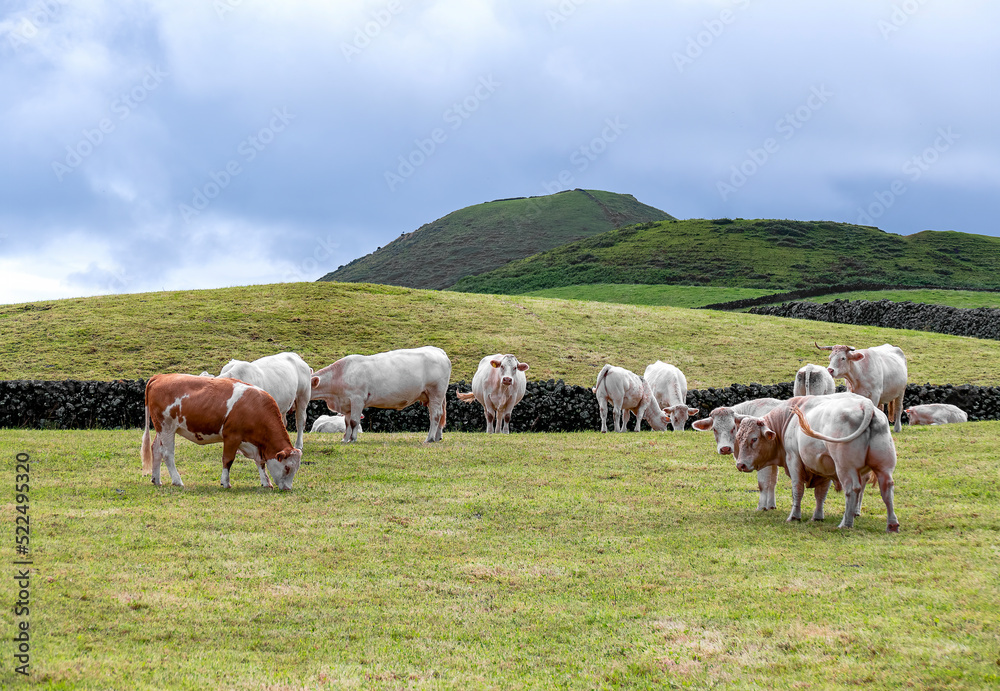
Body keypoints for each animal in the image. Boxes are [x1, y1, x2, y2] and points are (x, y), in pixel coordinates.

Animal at [140, 373, 301, 490]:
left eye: (296, 469)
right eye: (287, 467)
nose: (288, 488)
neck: (255, 408)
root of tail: (161, 376)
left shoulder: (253, 444)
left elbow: (260, 462)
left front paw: (266, 482)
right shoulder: (232, 437)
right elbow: (228, 460)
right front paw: (225, 482)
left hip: (162, 429)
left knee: (156, 449)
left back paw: (156, 479)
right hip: (167, 427)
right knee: (167, 454)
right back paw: (177, 480)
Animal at [310, 346, 451, 443]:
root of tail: (438, 350)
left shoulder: (357, 399)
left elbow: (354, 421)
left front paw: (353, 439)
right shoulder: (347, 403)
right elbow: (347, 422)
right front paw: (345, 439)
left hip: (435, 392)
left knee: (435, 415)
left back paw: (429, 438)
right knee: (440, 415)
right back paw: (437, 437)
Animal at [732, 392, 899, 532]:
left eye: (754, 439)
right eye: (738, 437)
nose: (740, 464)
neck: (788, 420)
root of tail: (866, 405)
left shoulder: (794, 460)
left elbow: (797, 490)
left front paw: (794, 516)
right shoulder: (824, 468)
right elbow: (821, 494)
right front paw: (817, 516)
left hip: (845, 468)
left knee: (852, 489)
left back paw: (846, 523)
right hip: (883, 468)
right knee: (886, 488)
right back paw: (892, 525)